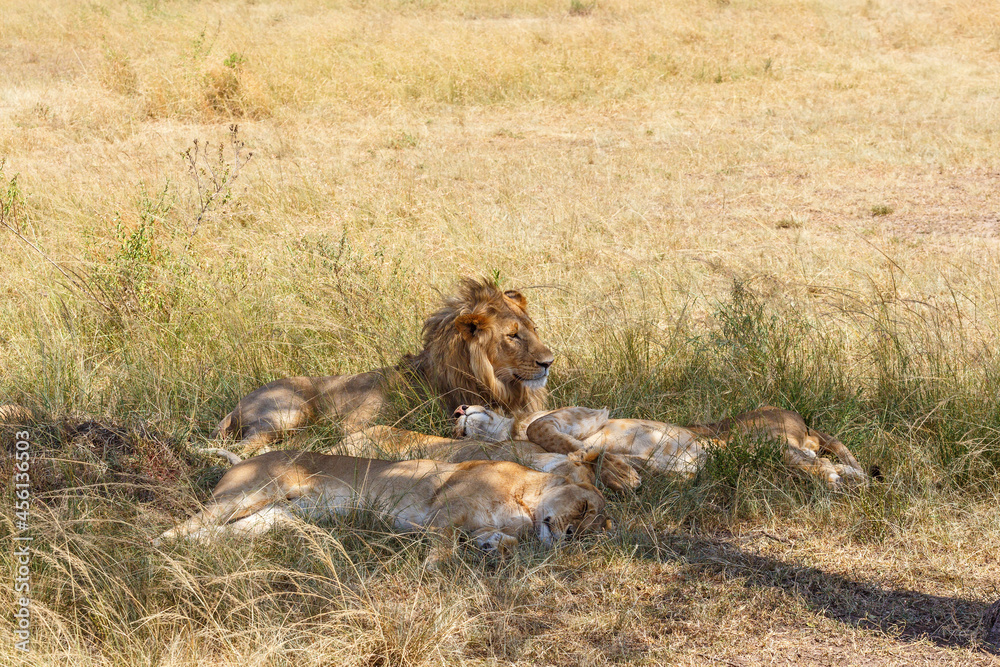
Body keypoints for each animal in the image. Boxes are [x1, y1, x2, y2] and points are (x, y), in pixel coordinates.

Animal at [156, 452, 608, 568]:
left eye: (592, 532)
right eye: (584, 507)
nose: (570, 537)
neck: (525, 505)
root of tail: (244, 459)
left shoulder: (477, 524)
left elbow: (502, 540)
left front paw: (494, 549)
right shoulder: (442, 513)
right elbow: (443, 548)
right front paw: (430, 571)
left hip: (271, 519)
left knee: (214, 536)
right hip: (249, 494)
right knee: (172, 531)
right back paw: (156, 553)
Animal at [212, 276, 556, 454]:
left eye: (534, 329)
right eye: (513, 336)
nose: (549, 362)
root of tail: (234, 407)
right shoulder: (354, 422)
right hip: (288, 411)